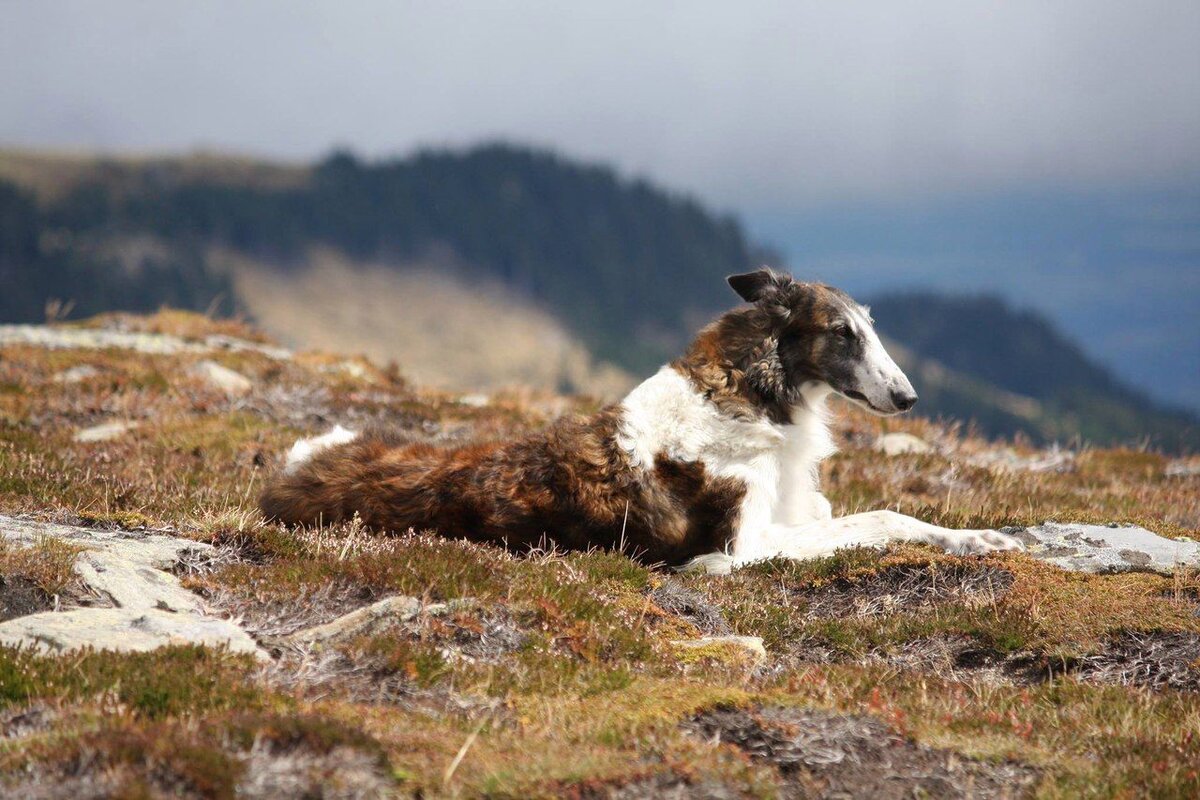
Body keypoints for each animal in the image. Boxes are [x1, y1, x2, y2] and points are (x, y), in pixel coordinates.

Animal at [262, 271, 1022, 575]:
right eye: (843, 334)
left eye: (870, 328)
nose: (908, 399)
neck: (754, 393)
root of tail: (290, 470)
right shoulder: (741, 548)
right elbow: (884, 519)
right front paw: (976, 540)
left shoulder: (796, 510)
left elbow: (878, 514)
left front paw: (978, 537)